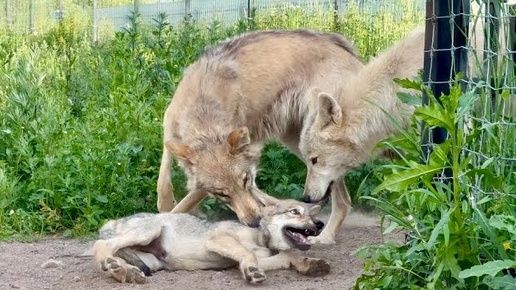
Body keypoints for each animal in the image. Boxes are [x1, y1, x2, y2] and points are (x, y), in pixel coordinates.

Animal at [91, 197, 330, 284]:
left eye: (311, 215)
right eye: (295, 212)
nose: (319, 224)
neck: (261, 237)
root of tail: (110, 222)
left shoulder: (261, 258)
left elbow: (289, 254)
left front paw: (311, 264)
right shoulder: (218, 239)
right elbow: (248, 254)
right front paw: (251, 273)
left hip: (152, 261)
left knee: (117, 259)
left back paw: (124, 272)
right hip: (149, 231)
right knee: (100, 245)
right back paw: (115, 266)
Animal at [157, 28, 362, 242]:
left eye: (245, 180)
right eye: (222, 195)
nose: (255, 222)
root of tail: (344, 46)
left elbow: (186, 202)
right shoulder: (169, 128)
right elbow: (164, 178)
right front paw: (165, 204)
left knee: (342, 199)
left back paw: (325, 236)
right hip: (296, 143)